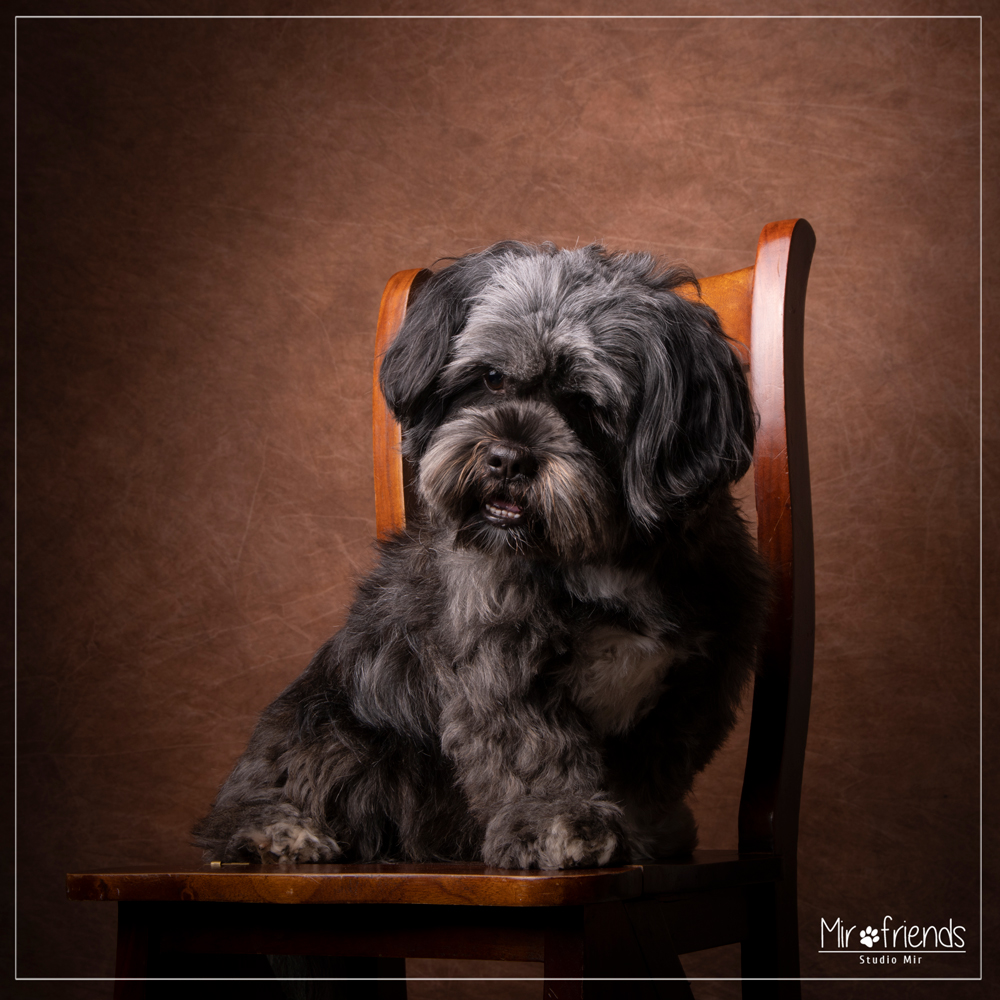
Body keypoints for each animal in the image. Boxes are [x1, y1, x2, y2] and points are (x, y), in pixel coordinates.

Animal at [191, 240, 768, 868]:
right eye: (491, 378)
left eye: (584, 402)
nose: (508, 459)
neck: (598, 553)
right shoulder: (501, 669)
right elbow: (533, 754)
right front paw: (558, 822)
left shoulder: (695, 685)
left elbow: (654, 772)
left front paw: (646, 834)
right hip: (337, 730)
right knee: (255, 799)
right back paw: (278, 830)